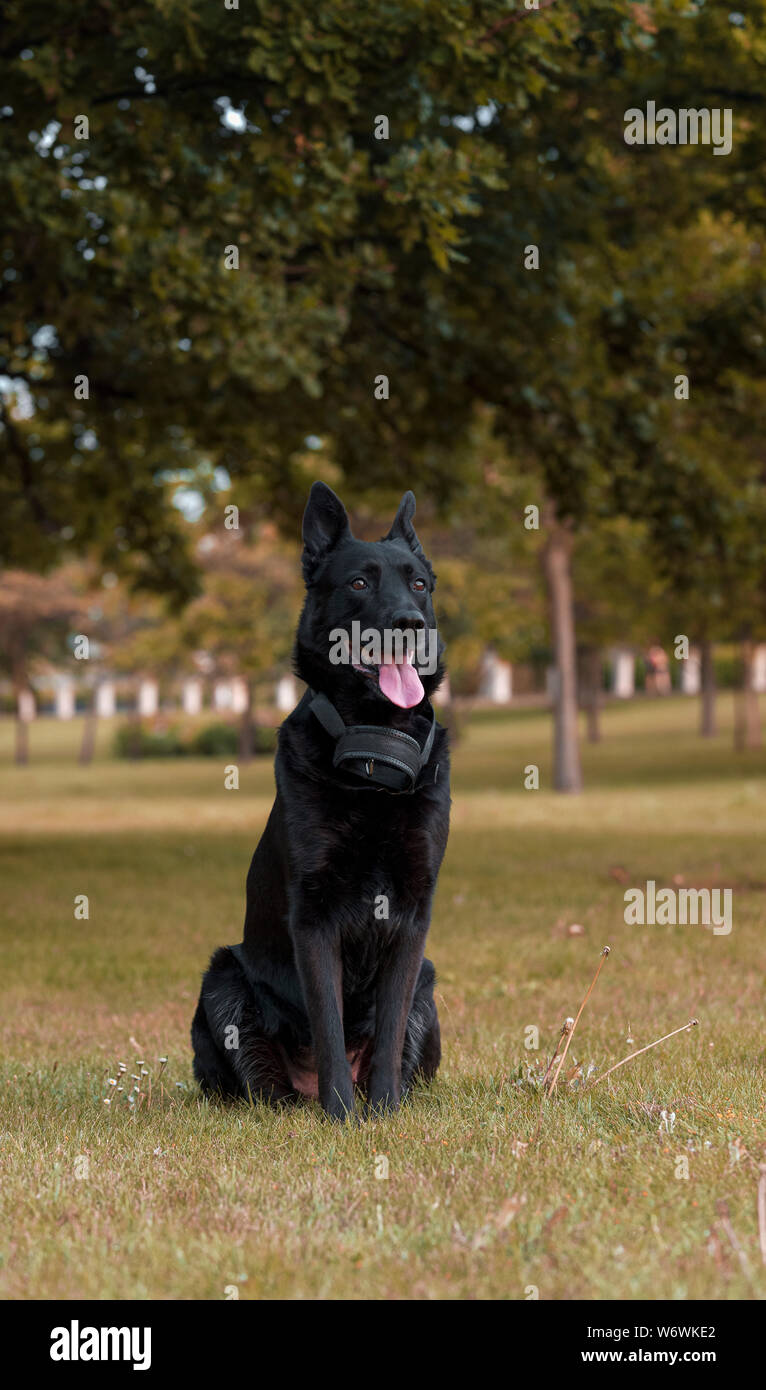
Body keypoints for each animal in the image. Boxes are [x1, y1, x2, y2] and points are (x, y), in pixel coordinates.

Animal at [191, 483, 453, 1123]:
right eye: (359, 583)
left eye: (419, 584)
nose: (409, 624)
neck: (372, 764)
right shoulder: (312, 917)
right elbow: (329, 1025)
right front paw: (342, 1118)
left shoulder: (413, 918)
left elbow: (386, 1029)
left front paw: (381, 1113)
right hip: (221, 978)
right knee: (265, 1088)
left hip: (429, 981)